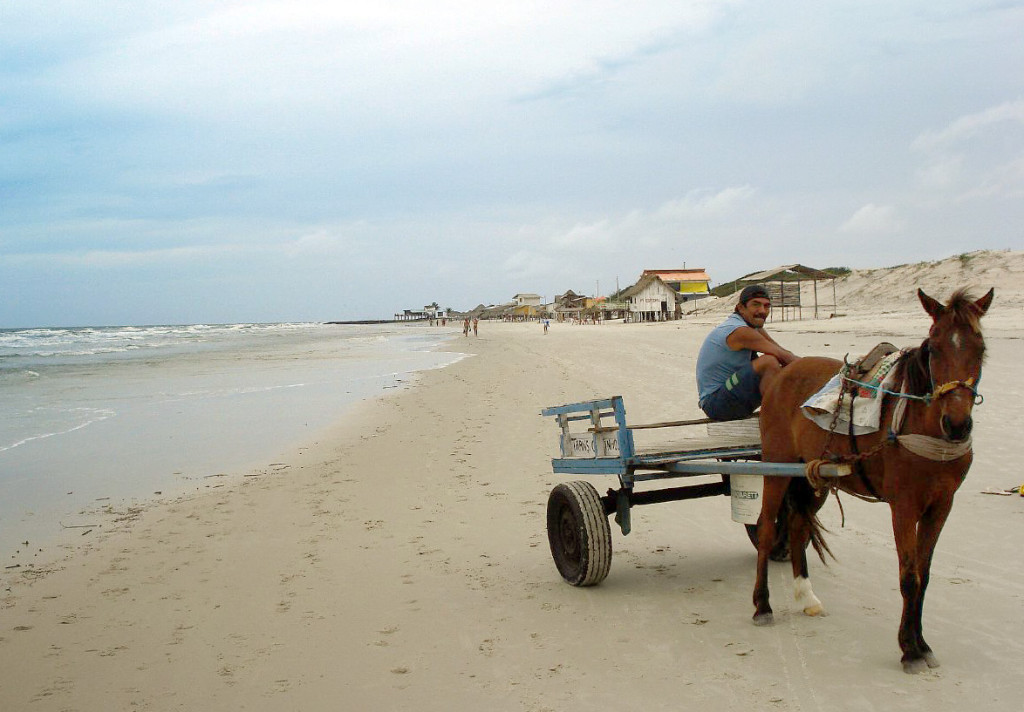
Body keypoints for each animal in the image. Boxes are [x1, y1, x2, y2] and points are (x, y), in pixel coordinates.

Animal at [753, 284, 991, 672]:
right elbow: (909, 576)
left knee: (799, 526)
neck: (921, 425)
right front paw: (909, 649)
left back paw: (806, 596)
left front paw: (922, 643)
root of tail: (783, 374)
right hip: (776, 466)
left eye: (980, 347)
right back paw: (762, 604)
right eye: (933, 347)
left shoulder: (942, 505)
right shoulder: (903, 506)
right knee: (765, 528)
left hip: (811, 474)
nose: (957, 425)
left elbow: (924, 575)